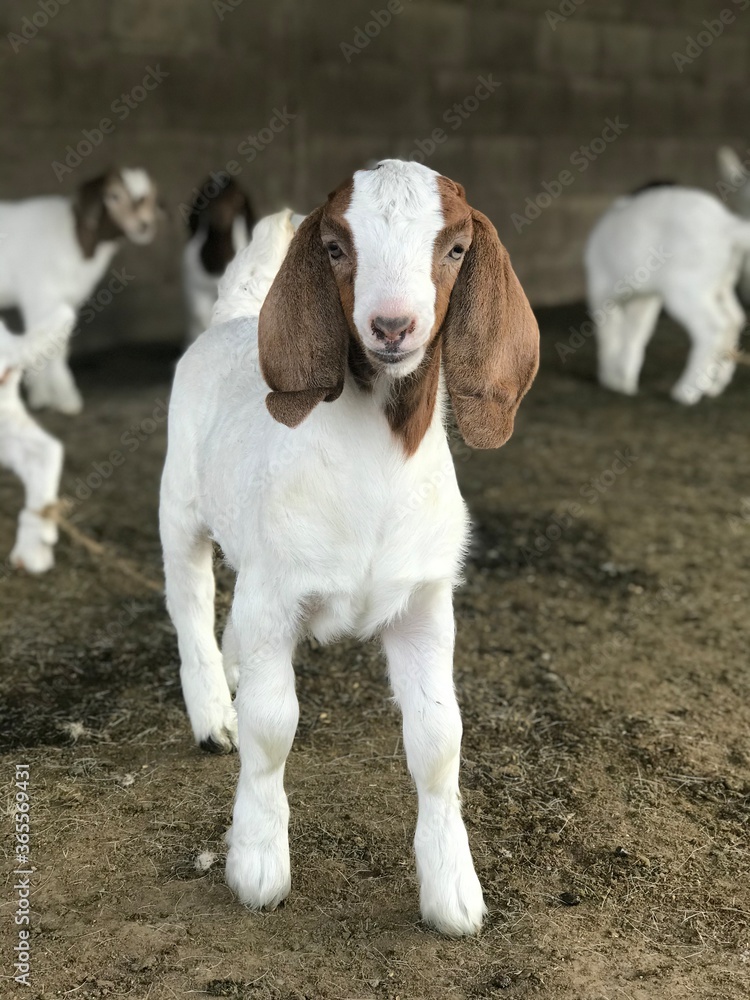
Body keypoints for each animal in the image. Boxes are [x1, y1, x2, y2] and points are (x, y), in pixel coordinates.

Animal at [0, 168, 159, 414]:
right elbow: (48, 344)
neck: (74, 239)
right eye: (113, 195)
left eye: (151, 197)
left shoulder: (67, 299)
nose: (145, 225)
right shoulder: (39, 297)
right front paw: (56, 398)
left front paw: (55, 395)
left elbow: (59, 344)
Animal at [588, 186, 750, 404]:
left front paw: (610, 379)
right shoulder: (645, 297)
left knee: (713, 326)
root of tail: (727, 226)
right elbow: (634, 334)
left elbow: (609, 335)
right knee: (734, 318)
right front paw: (625, 381)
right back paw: (715, 385)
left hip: (684, 288)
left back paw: (686, 392)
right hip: (720, 285)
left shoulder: (600, 291)